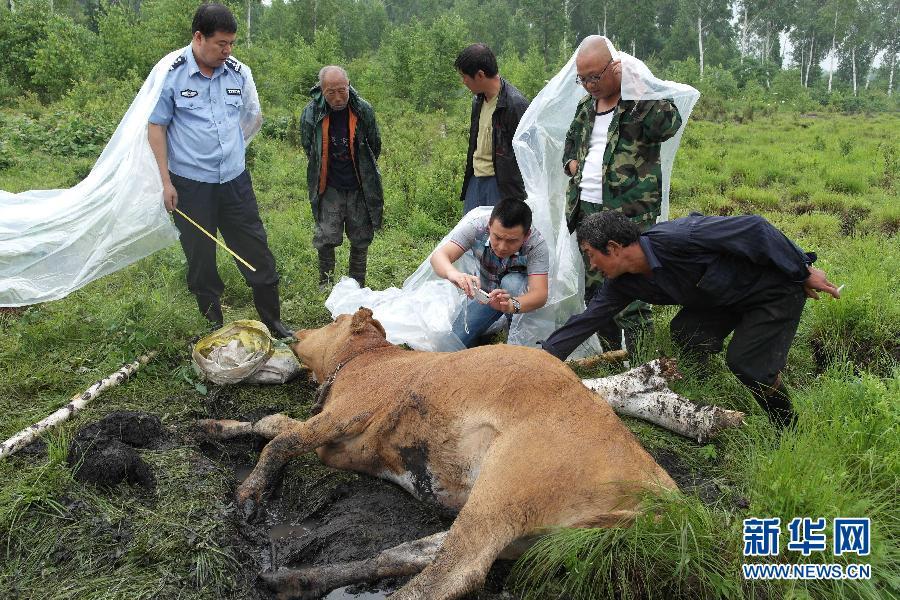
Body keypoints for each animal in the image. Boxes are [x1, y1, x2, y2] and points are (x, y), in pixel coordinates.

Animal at [197, 310, 676, 600]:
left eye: (333, 320)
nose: (293, 332)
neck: (369, 360)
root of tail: (662, 492)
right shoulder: (338, 442)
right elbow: (273, 423)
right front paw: (214, 427)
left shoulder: (348, 411)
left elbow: (282, 440)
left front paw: (249, 495)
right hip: (531, 535)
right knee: (406, 553)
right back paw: (295, 578)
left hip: (507, 488)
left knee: (453, 573)